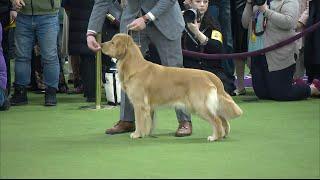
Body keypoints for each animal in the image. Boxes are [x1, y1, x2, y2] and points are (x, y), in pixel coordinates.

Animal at [101, 33, 241, 141]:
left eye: (112, 42)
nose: (101, 44)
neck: (134, 66)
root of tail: (209, 75)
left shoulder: (139, 104)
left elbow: (140, 121)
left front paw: (137, 134)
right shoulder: (148, 107)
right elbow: (149, 122)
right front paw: (147, 133)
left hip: (199, 105)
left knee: (217, 120)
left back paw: (214, 137)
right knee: (223, 119)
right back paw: (223, 134)